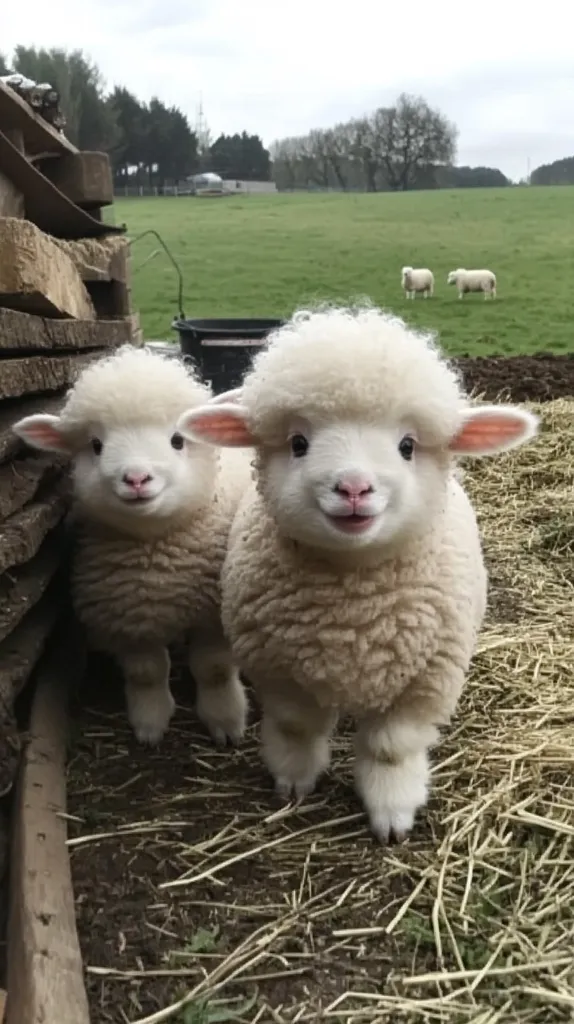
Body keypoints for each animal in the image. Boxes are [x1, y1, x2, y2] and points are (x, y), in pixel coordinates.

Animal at [12, 345, 252, 748]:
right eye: (95, 445)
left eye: (177, 440)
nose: (136, 478)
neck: (154, 551)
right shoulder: (129, 618)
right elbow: (147, 672)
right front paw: (150, 722)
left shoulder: (213, 617)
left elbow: (214, 668)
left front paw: (225, 720)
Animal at [176, 305, 539, 843]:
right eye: (298, 443)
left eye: (407, 445)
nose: (353, 488)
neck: (354, 603)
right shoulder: (280, 670)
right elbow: (297, 727)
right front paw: (293, 780)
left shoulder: (425, 681)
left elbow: (391, 748)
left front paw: (392, 811)